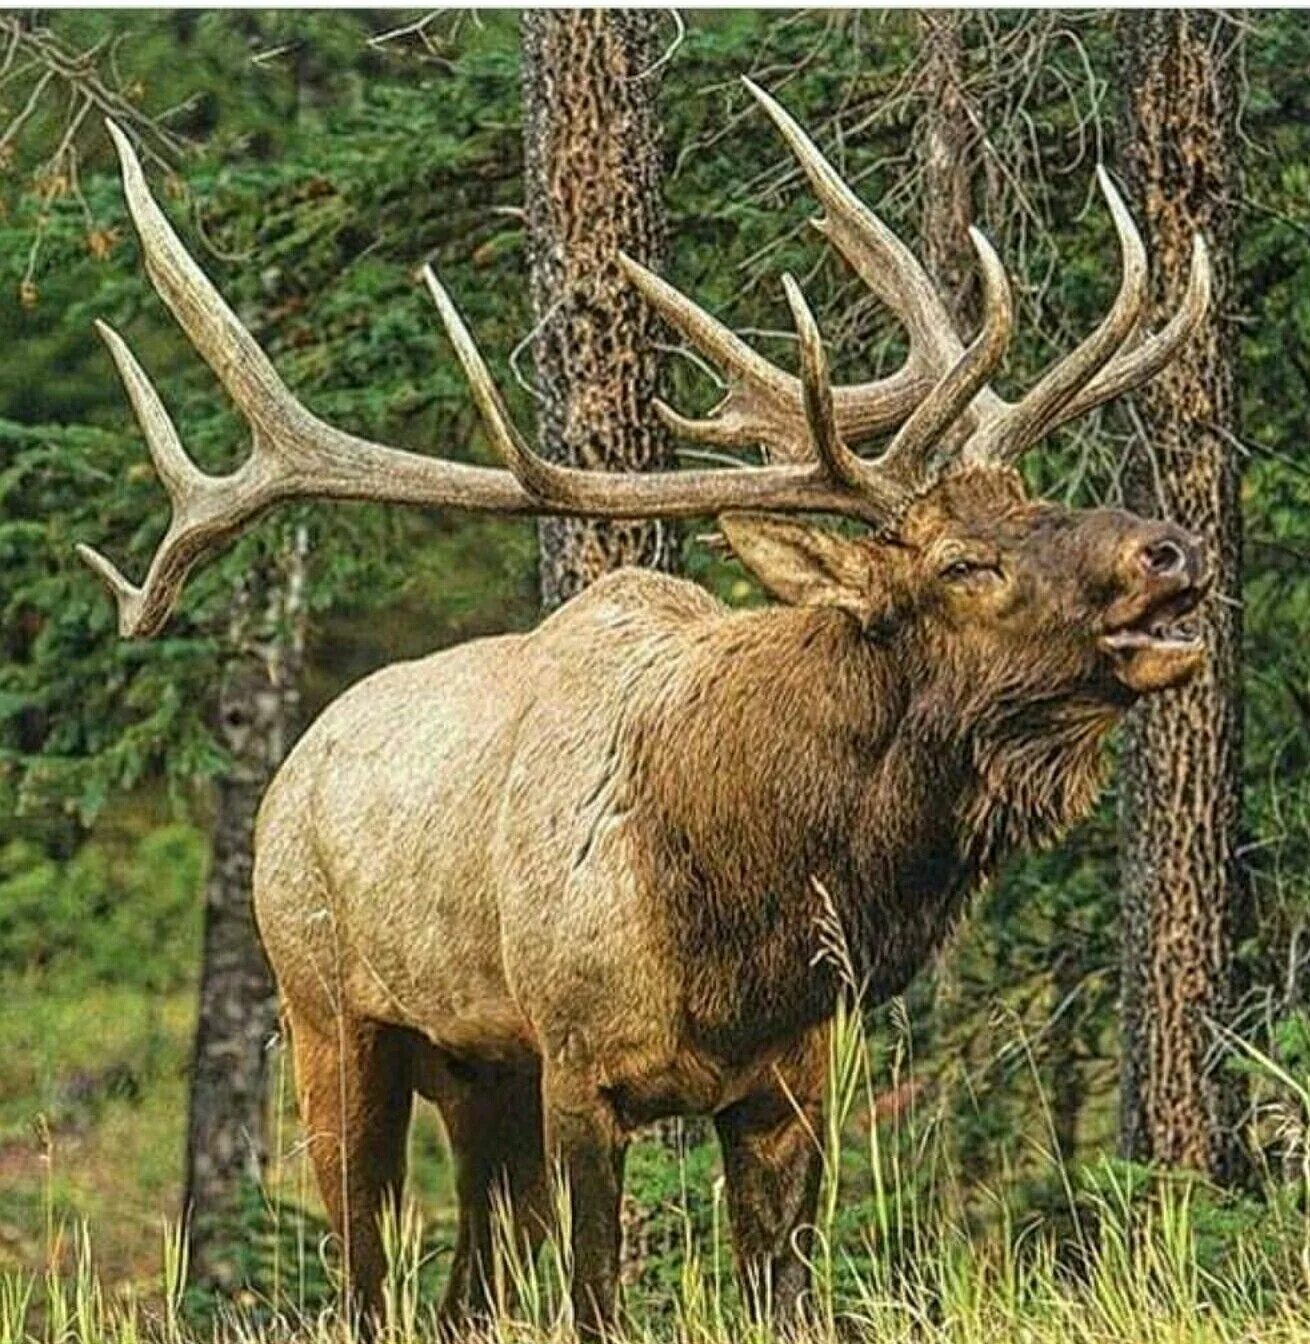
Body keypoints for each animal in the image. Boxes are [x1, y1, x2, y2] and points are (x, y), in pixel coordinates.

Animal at [76, 84, 1214, 1333]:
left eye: (1037, 496)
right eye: (962, 563)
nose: (1169, 548)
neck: (743, 914)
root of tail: (291, 772)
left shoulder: (790, 1079)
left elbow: (782, 1292)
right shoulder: (580, 1067)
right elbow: (593, 1293)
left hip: (478, 1071)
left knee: (470, 1281)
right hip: (330, 1014)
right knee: (365, 1275)